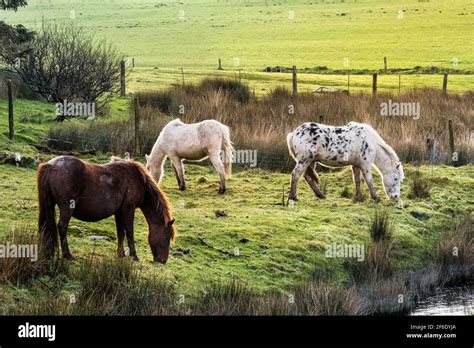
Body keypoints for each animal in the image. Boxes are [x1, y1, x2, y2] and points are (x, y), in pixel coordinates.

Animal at [36, 156, 175, 262]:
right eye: (167, 236)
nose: (163, 260)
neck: (138, 179)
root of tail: (51, 165)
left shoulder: (119, 212)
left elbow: (120, 232)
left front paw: (121, 254)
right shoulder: (128, 209)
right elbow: (129, 232)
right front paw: (134, 256)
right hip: (66, 208)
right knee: (62, 227)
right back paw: (68, 255)